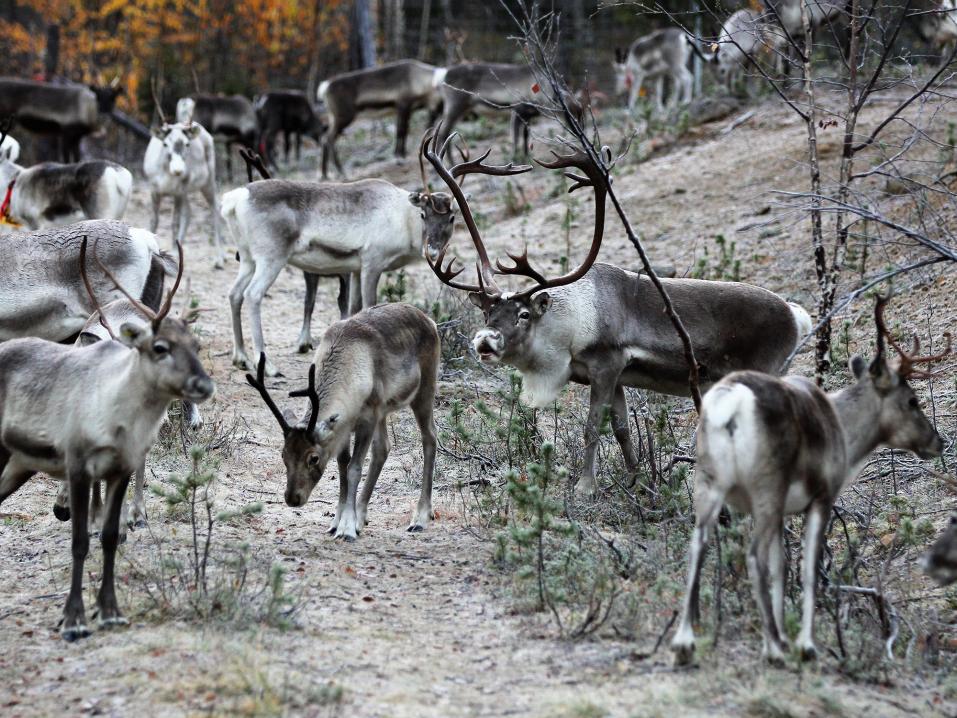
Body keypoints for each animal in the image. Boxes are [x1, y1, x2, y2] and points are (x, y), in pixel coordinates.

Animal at [246, 302, 440, 540]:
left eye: (314, 458)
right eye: (283, 455)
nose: (292, 498)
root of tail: (429, 321)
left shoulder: (368, 416)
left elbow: (354, 468)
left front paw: (347, 528)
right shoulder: (345, 426)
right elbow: (342, 467)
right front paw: (337, 522)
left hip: (425, 387)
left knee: (429, 437)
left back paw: (420, 518)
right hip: (385, 409)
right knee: (383, 448)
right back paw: (362, 516)